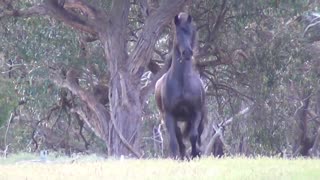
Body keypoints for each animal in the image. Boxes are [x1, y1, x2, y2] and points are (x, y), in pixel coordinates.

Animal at [155, 12, 205, 159]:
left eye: (190, 31)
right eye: (177, 32)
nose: (187, 52)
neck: (183, 82)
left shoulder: (196, 112)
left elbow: (193, 136)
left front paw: (195, 154)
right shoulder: (169, 115)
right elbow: (174, 140)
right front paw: (177, 156)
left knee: (197, 135)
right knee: (178, 136)